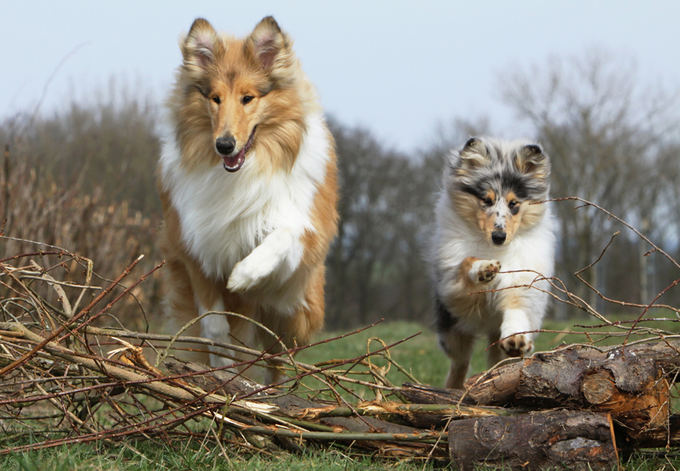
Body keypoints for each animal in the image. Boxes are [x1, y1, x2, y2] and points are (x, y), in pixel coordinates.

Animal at [432, 138, 556, 390]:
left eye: (514, 203)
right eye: (486, 200)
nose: (499, 236)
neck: (496, 249)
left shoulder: (522, 284)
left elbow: (517, 311)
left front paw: (517, 340)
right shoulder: (453, 287)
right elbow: (467, 263)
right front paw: (484, 269)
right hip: (452, 331)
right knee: (460, 363)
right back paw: (452, 388)